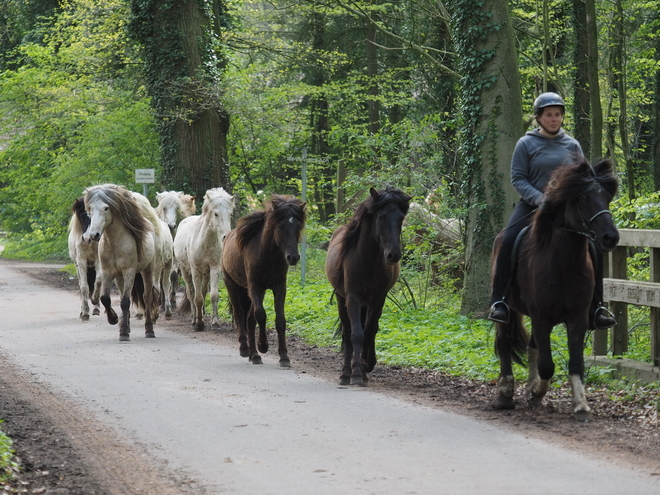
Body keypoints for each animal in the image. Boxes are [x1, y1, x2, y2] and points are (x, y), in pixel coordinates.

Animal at [82, 184, 161, 342]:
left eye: (106, 208)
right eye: (90, 208)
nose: (94, 235)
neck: (114, 244)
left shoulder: (129, 271)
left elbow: (125, 301)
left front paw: (124, 332)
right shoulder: (107, 272)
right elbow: (105, 298)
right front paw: (113, 319)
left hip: (147, 271)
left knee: (147, 297)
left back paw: (149, 330)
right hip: (119, 277)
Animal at [174, 188, 236, 332]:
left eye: (230, 214)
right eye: (216, 214)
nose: (226, 237)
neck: (205, 242)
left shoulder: (214, 268)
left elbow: (213, 295)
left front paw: (215, 323)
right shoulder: (195, 270)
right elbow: (197, 298)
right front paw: (199, 324)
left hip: (206, 273)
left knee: (202, 291)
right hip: (185, 271)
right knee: (191, 293)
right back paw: (193, 319)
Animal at [220, 194, 306, 368]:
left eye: (299, 226)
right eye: (280, 226)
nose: (293, 257)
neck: (267, 254)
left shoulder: (279, 287)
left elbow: (280, 320)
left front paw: (284, 357)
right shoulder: (254, 286)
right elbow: (260, 315)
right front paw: (262, 346)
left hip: (258, 291)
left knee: (249, 319)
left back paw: (253, 354)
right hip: (232, 285)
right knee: (240, 314)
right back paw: (246, 349)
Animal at [324, 188, 410, 386]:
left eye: (401, 218)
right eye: (381, 217)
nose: (394, 255)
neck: (368, 261)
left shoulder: (378, 299)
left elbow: (369, 331)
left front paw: (364, 368)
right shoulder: (352, 298)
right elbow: (356, 334)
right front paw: (355, 373)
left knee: (370, 328)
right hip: (341, 299)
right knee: (347, 333)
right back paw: (345, 373)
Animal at [490, 157, 620, 420]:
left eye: (606, 197)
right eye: (584, 198)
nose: (610, 238)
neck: (564, 263)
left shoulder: (577, 318)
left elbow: (575, 363)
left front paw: (580, 405)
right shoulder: (542, 317)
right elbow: (548, 366)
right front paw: (537, 391)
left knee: (531, 347)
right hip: (508, 310)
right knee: (504, 342)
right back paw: (505, 393)